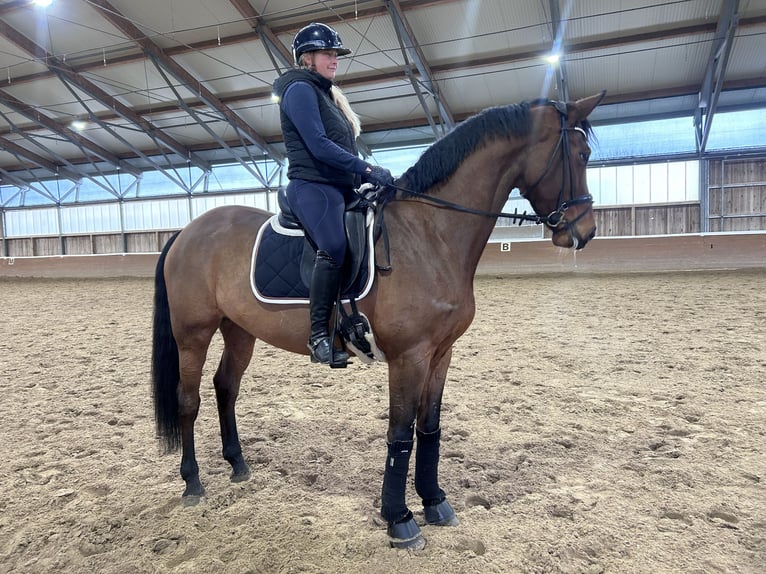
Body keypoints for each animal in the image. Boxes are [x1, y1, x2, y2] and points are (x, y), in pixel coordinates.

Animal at [150, 92, 608, 552]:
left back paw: (238, 465)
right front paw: (399, 520)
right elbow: (400, 434)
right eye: (581, 154)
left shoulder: (441, 354)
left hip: (239, 330)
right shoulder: (409, 357)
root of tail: (186, 231)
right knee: (189, 401)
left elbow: (430, 428)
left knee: (226, 388)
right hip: (193, 333)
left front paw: (435, 502)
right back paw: (192, 484)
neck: (431, 234)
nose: (584, 232)